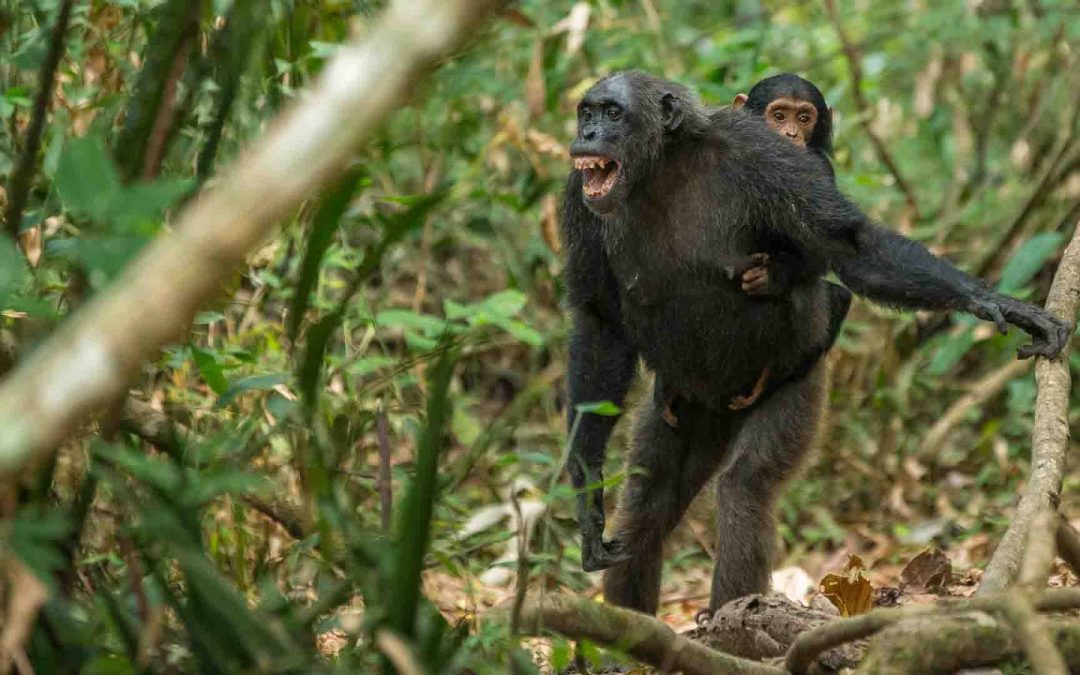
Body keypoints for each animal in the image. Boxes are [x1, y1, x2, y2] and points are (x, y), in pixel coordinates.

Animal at [561, 71, 1067, 613]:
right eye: (588, 111)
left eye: (613, 114)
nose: (588, 133)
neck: (661, 168)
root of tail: (721, 407)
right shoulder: (578, 199)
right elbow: (599, 323)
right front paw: (587, 506)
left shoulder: (767, 160)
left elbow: (851, 245)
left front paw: (995, 301)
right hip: (681, 408)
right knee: (648, 504)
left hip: (794, 383)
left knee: (746, 486)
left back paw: (732, 618)